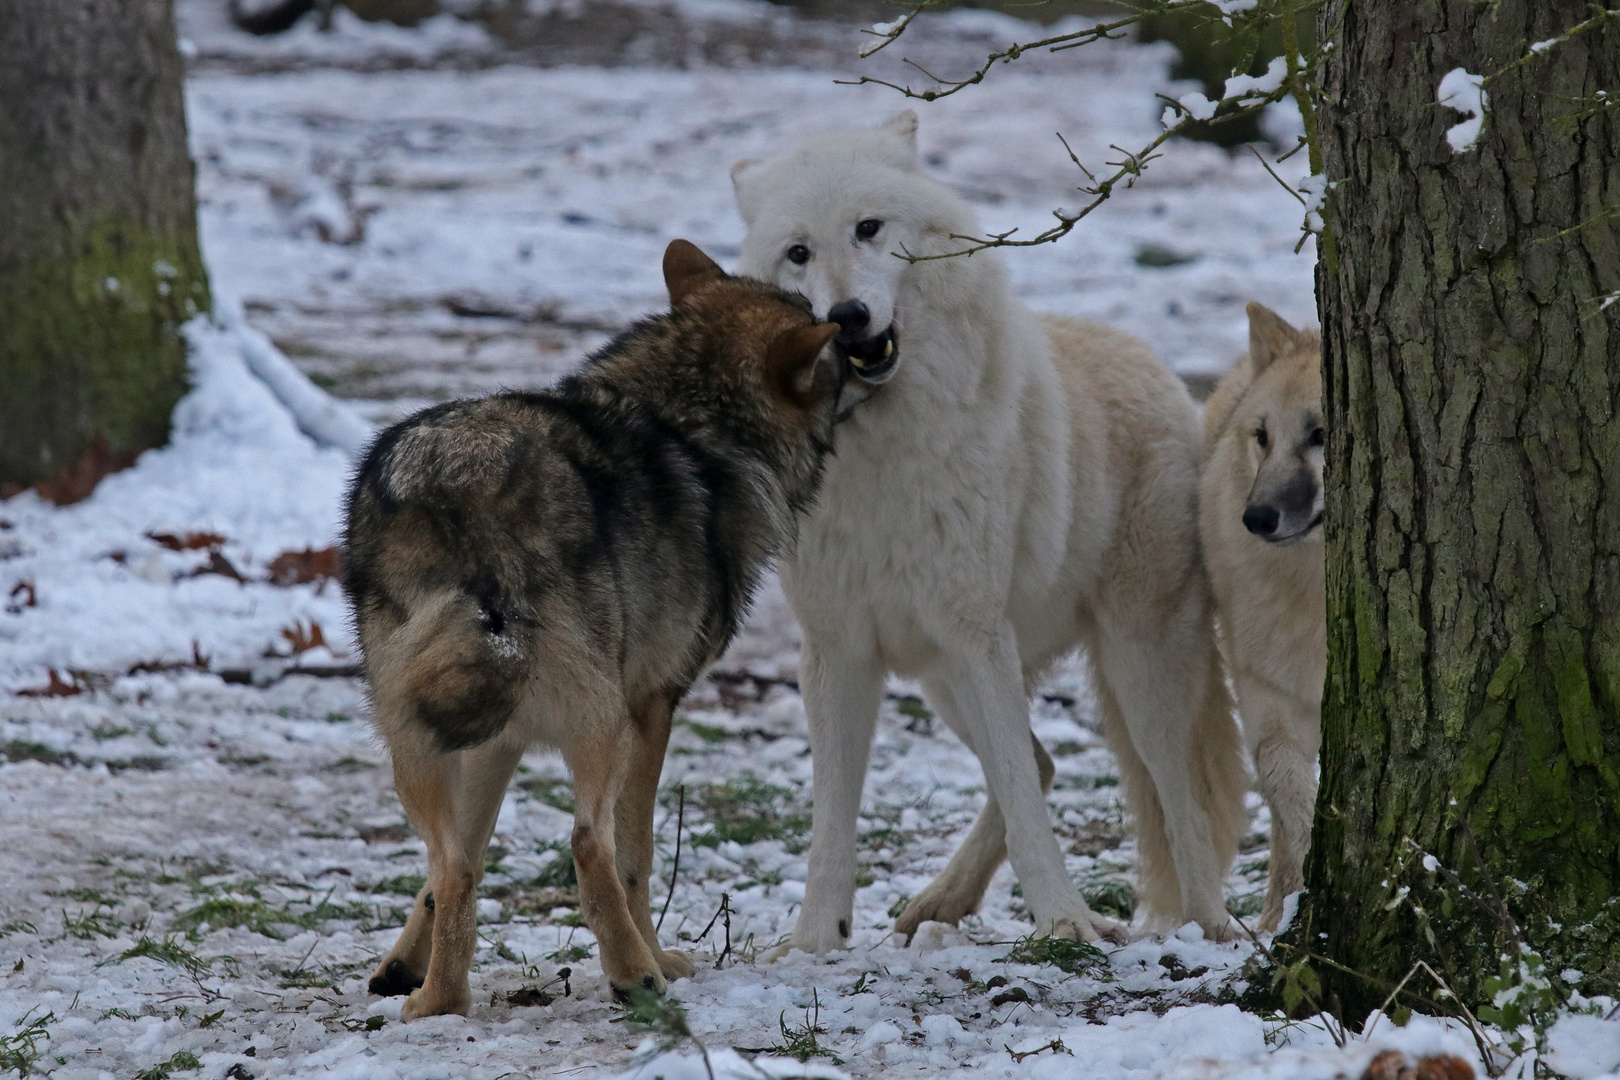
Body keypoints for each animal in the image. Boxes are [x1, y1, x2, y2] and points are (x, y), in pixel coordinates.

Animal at [343, 241, 848, 1016]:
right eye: (835, 352)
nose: (864, 332)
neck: (692, 428)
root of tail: (461, 486)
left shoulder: (498, 742)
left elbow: (458, 866)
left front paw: (403, 969)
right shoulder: (653, 705)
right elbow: (637, 856)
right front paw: (661, 960)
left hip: (414, 736)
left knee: (452, 864)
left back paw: (441, 1003)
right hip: (599, 719)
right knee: (586, 842)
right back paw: (634, 976)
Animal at [729, 114, 1244, 952]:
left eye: (868, 229)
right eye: (798, 253)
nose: (846, 317)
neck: (879, 453)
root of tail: (1159, 367)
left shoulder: (974, 633)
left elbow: (1029, 808)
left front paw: (1064, 924)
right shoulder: (839, 651)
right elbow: (832, 822)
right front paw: (812, 941)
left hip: (1136, 669)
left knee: (1178, 805)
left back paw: (1210, 931)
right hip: (947, 679)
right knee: (1041, 764)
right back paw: (941, 901)